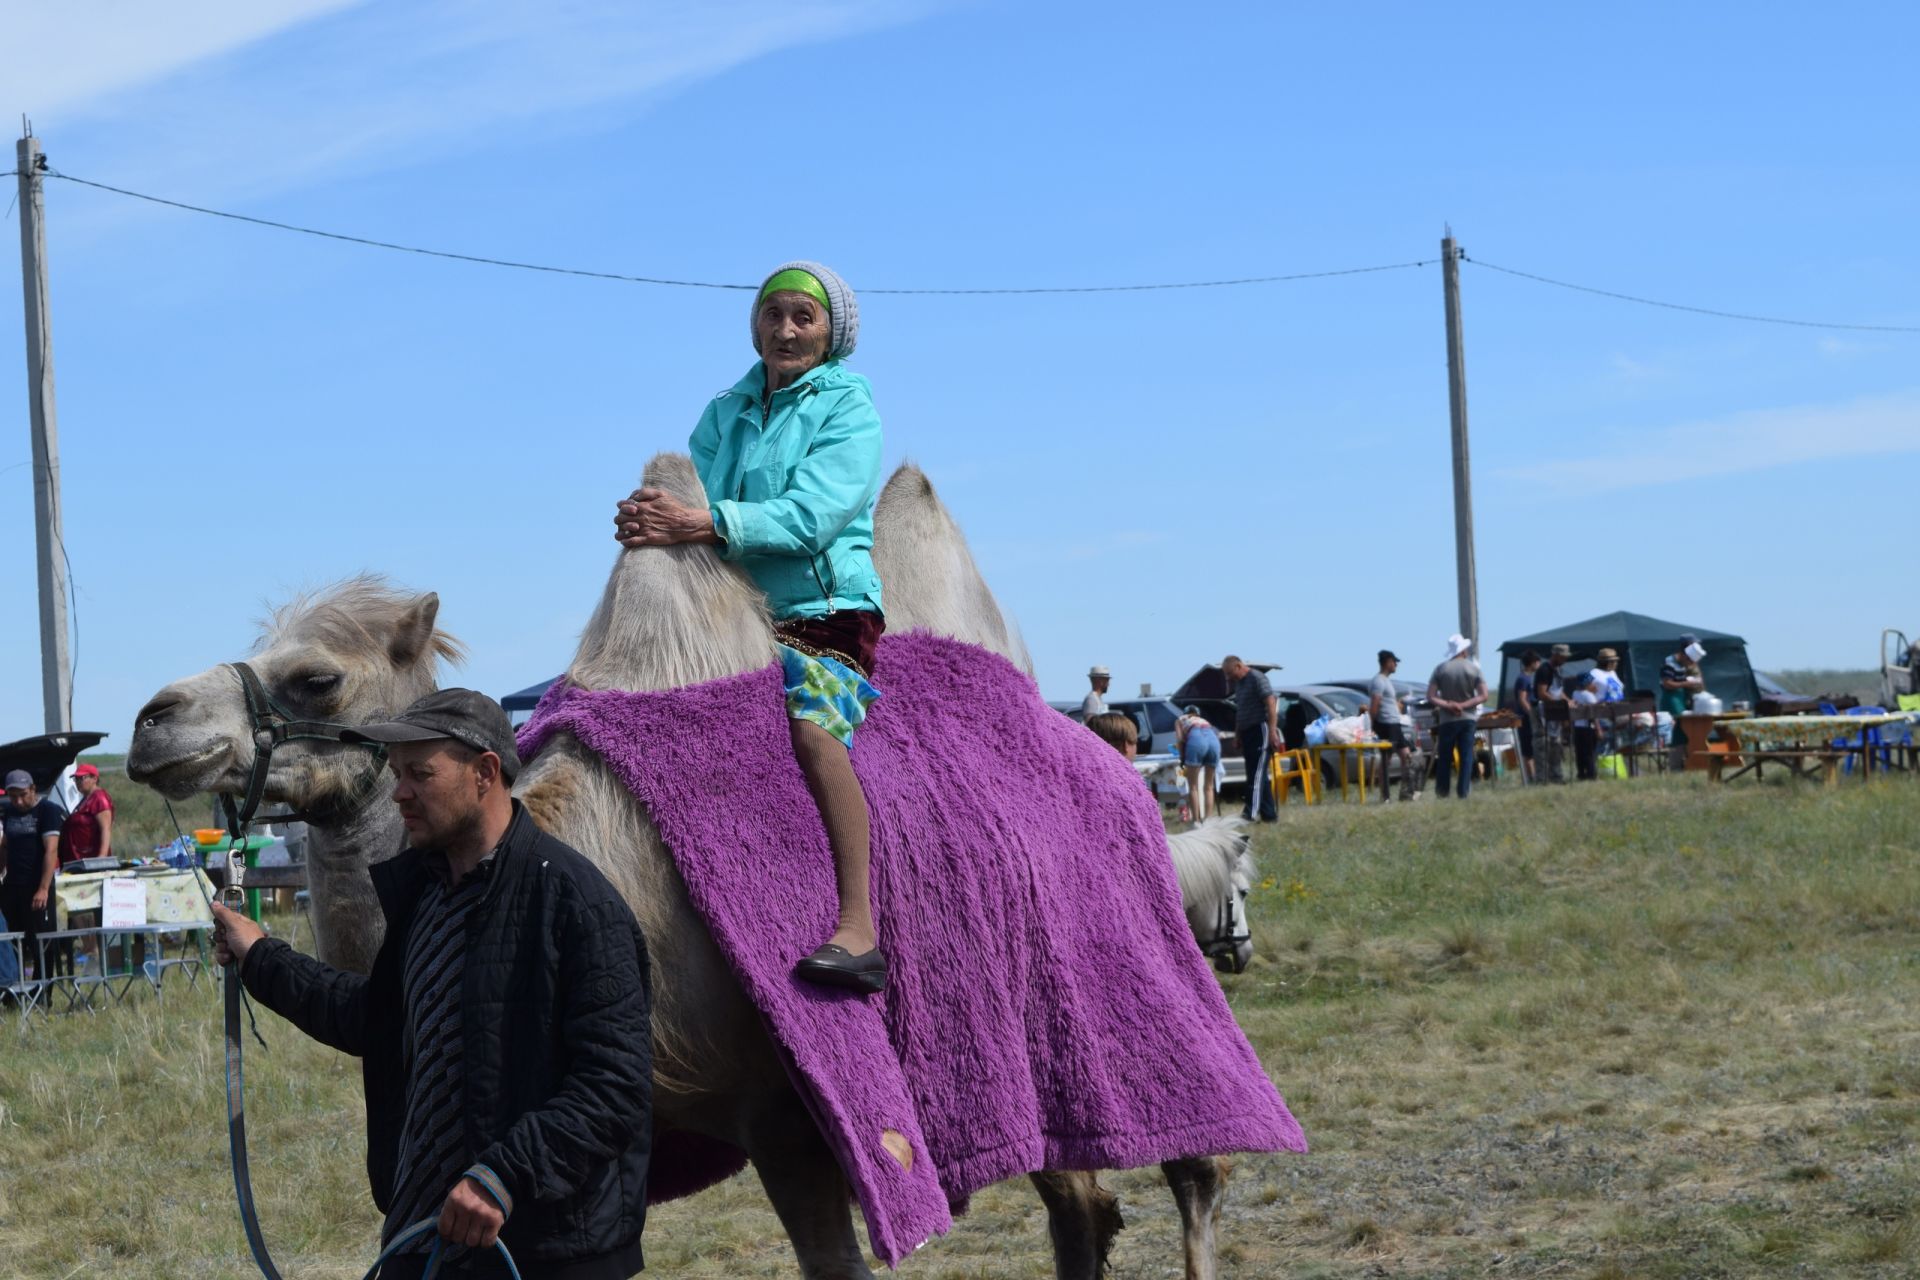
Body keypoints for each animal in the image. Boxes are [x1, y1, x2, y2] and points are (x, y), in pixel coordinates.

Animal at [135, 460, 1244, 1280]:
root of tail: (1128, 778)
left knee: (1191, 1167)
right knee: (1087, 1205)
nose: (153, 721)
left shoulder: (788, 1115)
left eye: (316, 676)